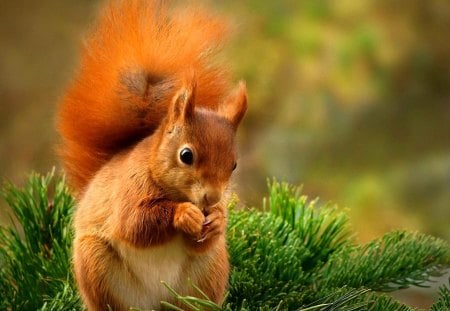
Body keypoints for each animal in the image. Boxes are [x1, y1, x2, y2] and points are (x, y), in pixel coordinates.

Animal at [57, 1, 246, 310]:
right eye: (186, 155)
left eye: (234, 165)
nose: (212, 198)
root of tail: (158, 302)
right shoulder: (129, 189)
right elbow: (134, 223)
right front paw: (183, 214)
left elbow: (203, 238)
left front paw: (218, 220)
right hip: (96, 265)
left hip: (209, 272)